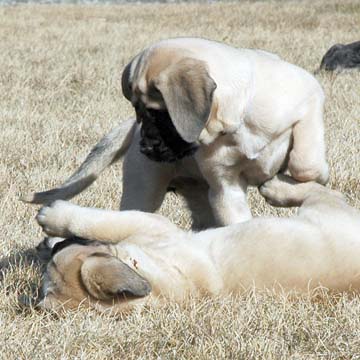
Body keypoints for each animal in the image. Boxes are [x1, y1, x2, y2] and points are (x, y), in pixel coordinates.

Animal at [23, 37, 330, 228]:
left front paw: (316, 175)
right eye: (139, 112)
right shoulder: (226, 188)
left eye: (160, 114)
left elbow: (306, 163)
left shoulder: (310, 98)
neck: (234, 124)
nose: (146, 147)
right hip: (144, 191)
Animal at [35, 176, 360, 314]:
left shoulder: (149, 224)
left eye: (60, 259)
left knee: (321, 191)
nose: (55, 249)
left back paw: (275, 187)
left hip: (322, 208)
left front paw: (52, 218)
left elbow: (94, 222)